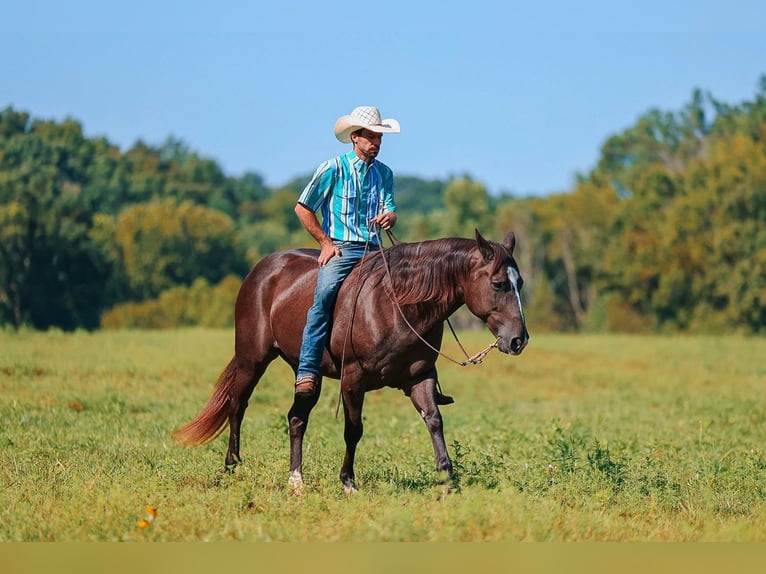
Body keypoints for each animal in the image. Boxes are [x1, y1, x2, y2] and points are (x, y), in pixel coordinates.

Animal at [172, 230, 529, 493]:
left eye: (520, 283)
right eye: (498, 283)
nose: (518, 340)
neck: (396, 303)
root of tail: (261, 270)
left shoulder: (420, 378)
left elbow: (434, 421)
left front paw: (448, 482)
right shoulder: (353, 379)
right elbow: (353, 429)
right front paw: (348, 482)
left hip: (306, 371)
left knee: (296, 418)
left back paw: (296, 481)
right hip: (252, 360)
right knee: (237, 406)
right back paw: (231, 467)